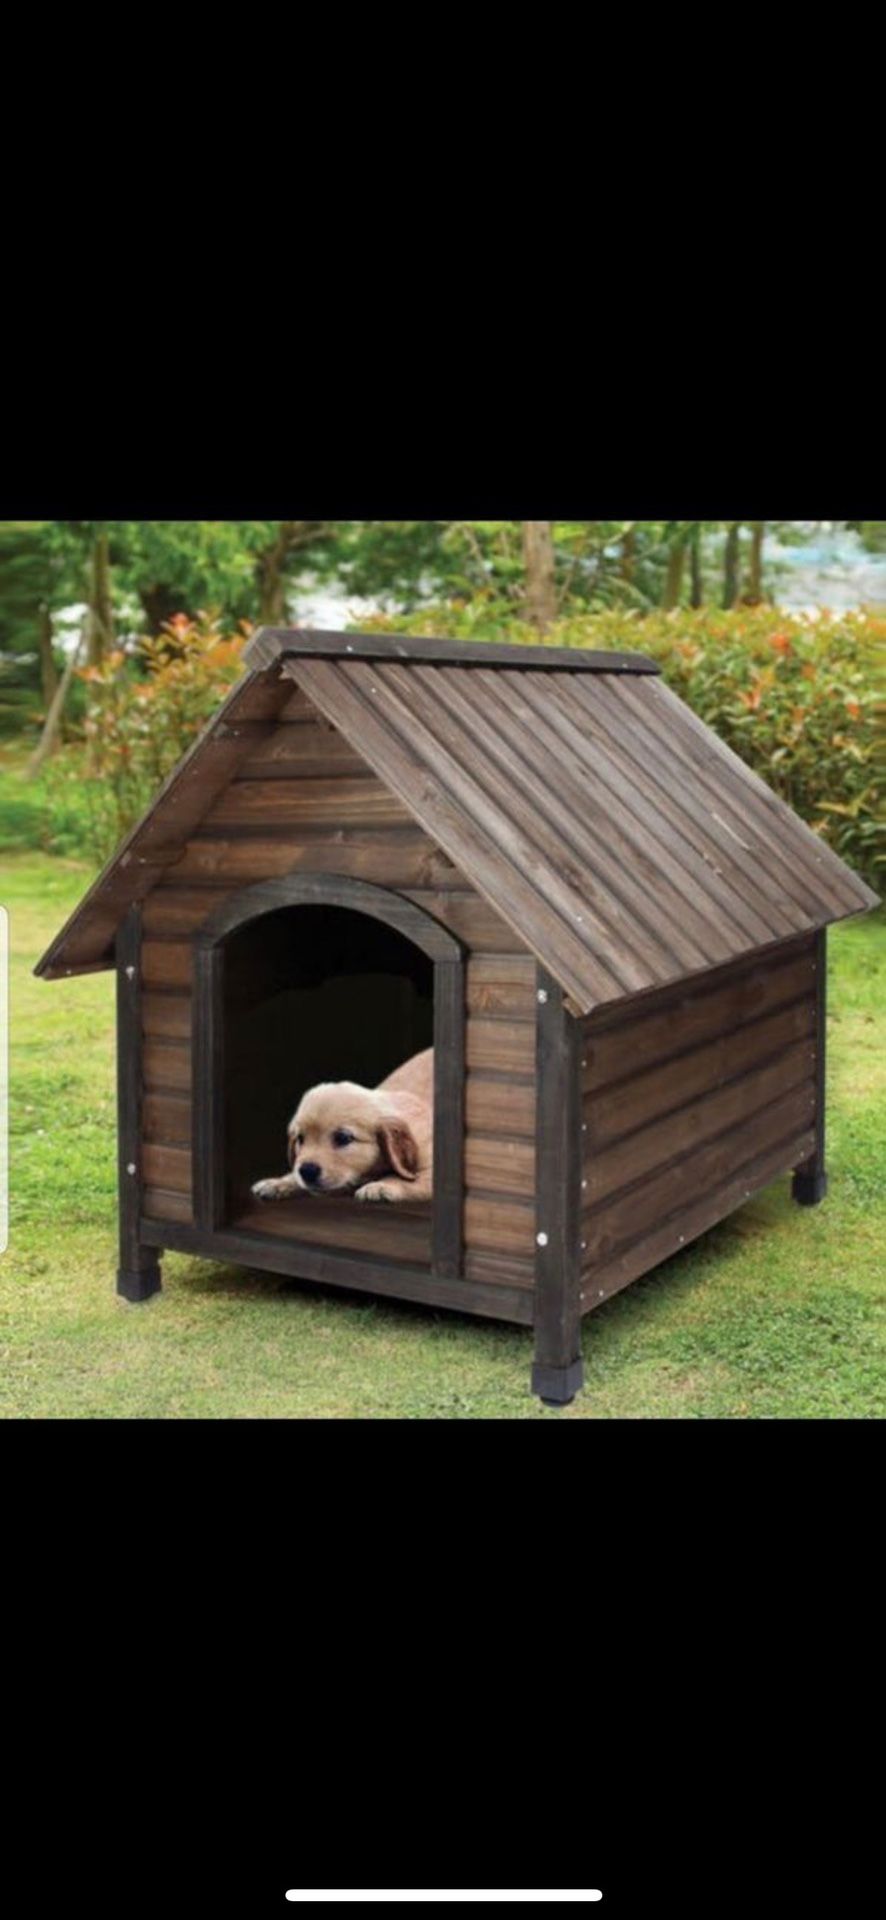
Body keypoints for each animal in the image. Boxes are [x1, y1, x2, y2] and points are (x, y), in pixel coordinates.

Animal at [247, 1044, 432, 1205]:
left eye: (343, 1138)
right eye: (300, 1139)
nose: (307, 1171)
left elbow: (411, 1180)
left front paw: (381, 1186)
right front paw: (278, 1182)